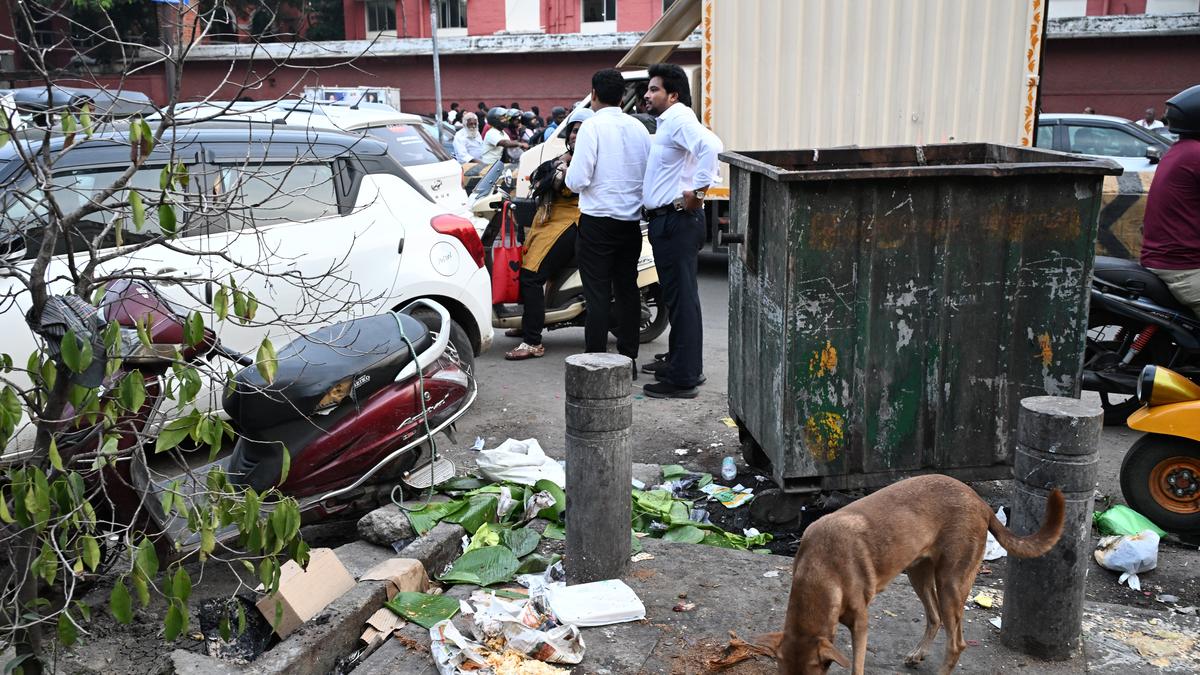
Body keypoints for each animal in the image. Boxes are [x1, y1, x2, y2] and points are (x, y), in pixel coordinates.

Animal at [748, 473, 1060, 672]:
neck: (819, 571)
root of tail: (980, 501)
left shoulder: (860, 623)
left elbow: (857, 665)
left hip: (950, 582)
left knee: (956, 643)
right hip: (918, 573)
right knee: (934, 618)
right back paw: (919, 653)